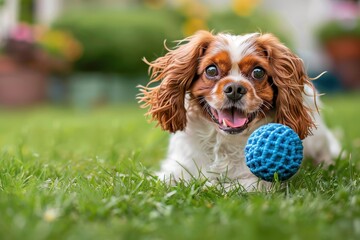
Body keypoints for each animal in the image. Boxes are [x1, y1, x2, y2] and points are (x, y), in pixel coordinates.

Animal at [138, 30, 340, 191]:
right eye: (211, 70)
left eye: (258, 72)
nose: (235, 88)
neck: (225, 140)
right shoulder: (175, 168)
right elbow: (168, 180)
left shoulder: (259, 182)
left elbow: (230, 186)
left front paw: (208, 186)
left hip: (318, 140)